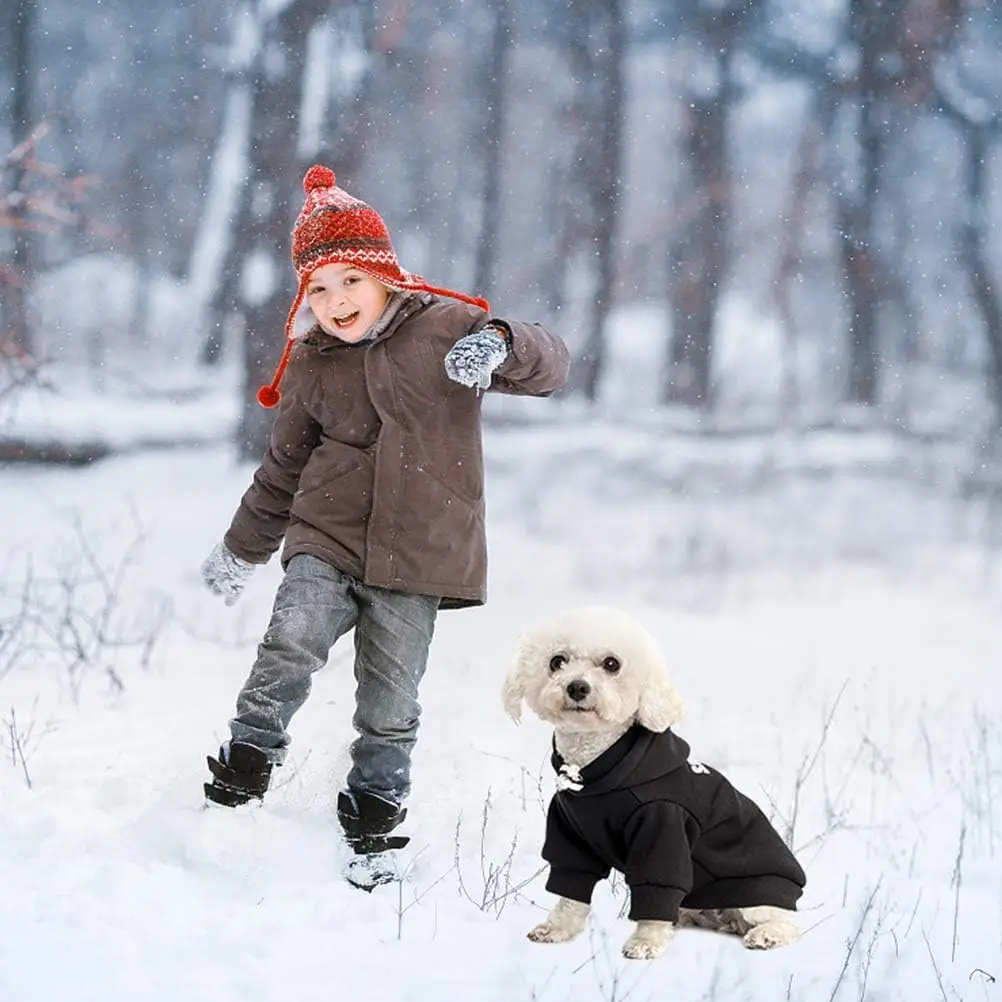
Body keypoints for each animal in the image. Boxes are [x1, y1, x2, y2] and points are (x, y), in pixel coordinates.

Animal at [501, 605, 805, 957]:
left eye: (612, 664)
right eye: (556, 661)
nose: (577, 687)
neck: (594, 765)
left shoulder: (664, 827)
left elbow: (658, 887)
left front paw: (646, 942)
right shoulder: (569, 832)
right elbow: (570, 889)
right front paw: (557, 929)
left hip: (757, 896)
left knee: (787, 924)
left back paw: (766, 934)